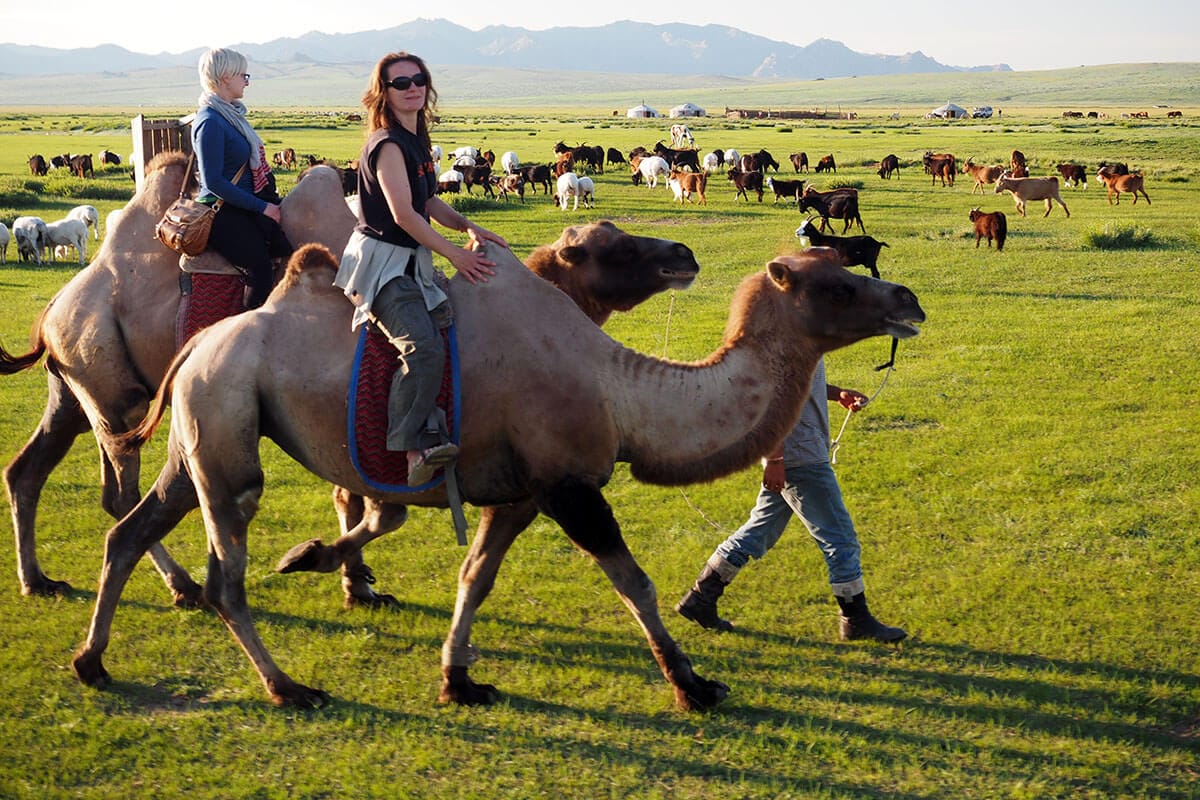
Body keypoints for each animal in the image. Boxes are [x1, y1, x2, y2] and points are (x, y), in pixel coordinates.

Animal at [0, 150, 699, 605]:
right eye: (609, 249)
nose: (682, 254)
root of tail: (52, 313)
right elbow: (354, 494)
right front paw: (349, 578)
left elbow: (354, 496)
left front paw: (353, 579)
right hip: (112, 391)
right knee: (119, 493)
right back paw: (183, 586)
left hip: (74, 389)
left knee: (28, 469)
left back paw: (40, 580)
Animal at [71, 242, 924, 710]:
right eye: (836, 286)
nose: (909, 298)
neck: (617, 390)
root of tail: (200, 342)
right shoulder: (572, 488)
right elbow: (635, 582)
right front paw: (694, 686)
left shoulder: (520, 495)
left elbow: (474, 578)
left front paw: (458, 678)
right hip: (226, 432)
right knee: (226, 571)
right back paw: (289, 686)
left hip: (199, 430)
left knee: (130, 529)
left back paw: (93, 661)